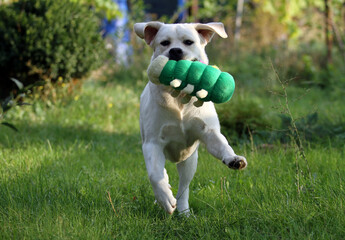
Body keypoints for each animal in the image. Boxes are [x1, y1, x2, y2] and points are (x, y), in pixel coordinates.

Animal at [133, 21, 246, 215]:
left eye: (188, 42)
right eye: (164, 43)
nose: (175, 51)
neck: (179, 96)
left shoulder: (208, 132)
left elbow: (222, 144)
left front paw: (233, 159)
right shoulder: (152, 143)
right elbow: (155, 175)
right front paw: (164, 199)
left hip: (189, 161)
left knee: (184, 187)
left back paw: (184, 212)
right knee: (161, 173)